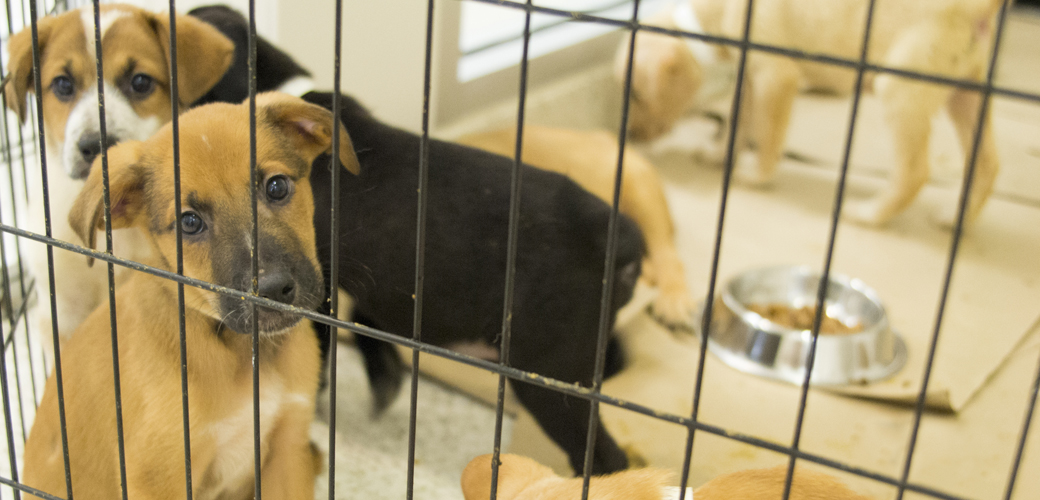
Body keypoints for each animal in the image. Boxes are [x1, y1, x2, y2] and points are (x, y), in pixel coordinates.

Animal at [21, 92, 361, 498]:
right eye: (189, 222)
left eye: (277, 187)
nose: (272, 289)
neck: (241, 354)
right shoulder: (160, 474)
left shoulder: (287, 451)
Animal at [188, 4, 640, 471]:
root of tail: (624, 239)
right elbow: (366, 325)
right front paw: (382, 380)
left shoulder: (311, 284)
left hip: (548, 375)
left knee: (604, 455)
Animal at [615, 0, 1006, 226]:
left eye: (635, 94)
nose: (631, 136)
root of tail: (980, 7)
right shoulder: (750, 78)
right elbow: (738, 123)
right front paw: (719, 154)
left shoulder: (775, 77)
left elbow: (768, 136)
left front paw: (756, 176)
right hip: (967, 92)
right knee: (987, 163)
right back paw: (957, 218)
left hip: (899, 88)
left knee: (914, 172)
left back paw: (869, 214)